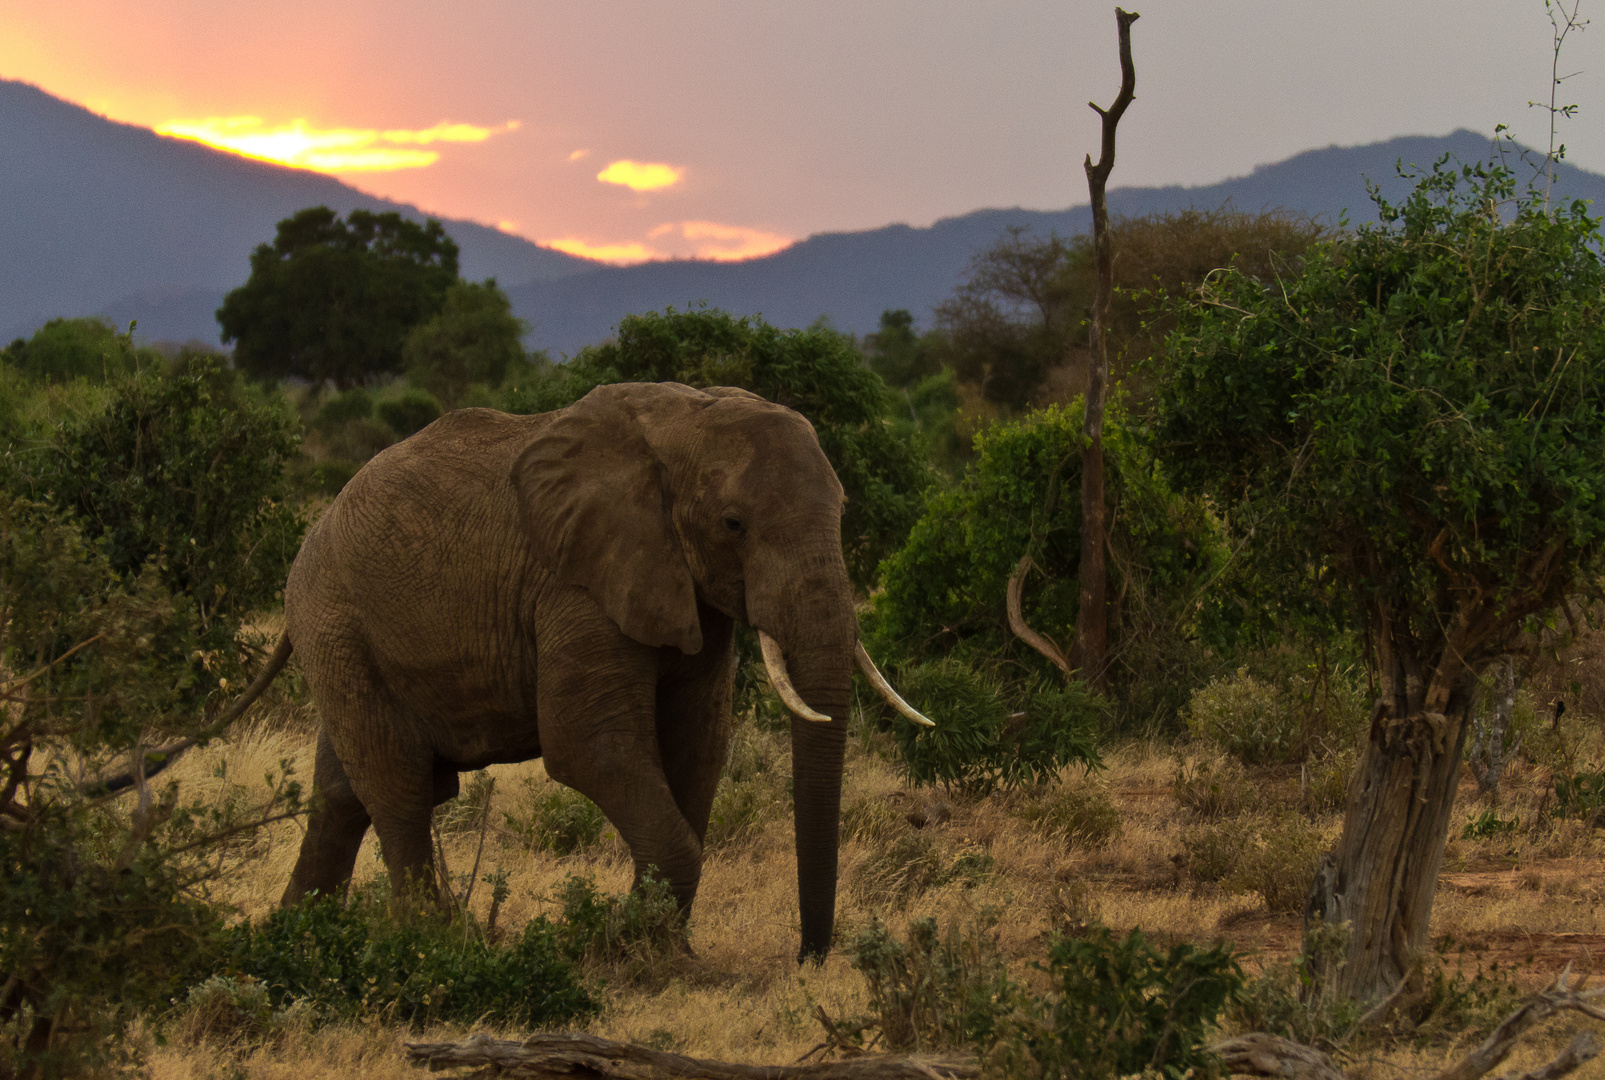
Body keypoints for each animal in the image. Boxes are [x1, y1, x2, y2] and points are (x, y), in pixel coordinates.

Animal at [243, 381, 937, 962]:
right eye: (733, 524)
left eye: (844, 510)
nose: (807, 959)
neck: (685, 419)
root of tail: (315, 530)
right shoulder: (576, 586)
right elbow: (591, 749)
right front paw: (632, 953)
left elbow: (698, 746)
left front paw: (665, 952)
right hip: (336, 622)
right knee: (400, 787)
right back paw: (426, 947)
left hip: (344, 640)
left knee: (341, 796)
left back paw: (294, 939)